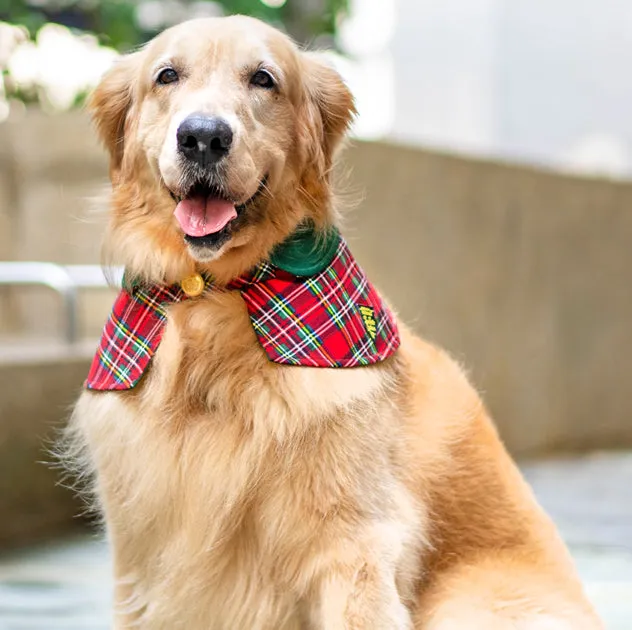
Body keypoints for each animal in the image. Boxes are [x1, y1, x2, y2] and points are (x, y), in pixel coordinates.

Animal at [68, 14, 604, 630]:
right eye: (167, 76)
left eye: (263, 79)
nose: (203, 136)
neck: (215, 302)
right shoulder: (141, 565)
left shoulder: (352, 548)